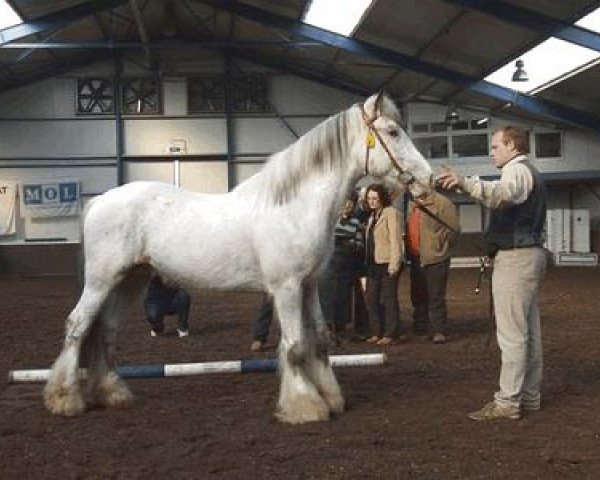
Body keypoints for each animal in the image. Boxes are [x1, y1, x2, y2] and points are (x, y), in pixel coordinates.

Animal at [44, 92, 434, 422]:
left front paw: (331, 398)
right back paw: (64, 399)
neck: (295, 205)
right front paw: (305, 406)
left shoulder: (308, 285)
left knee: (106, 330)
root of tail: (98, 200)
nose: (428, 179)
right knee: (77, 325)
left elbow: (320, 340)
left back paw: (113, 393)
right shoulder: (287, 287)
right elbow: (295, 345)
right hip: (102, 281)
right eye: (392, 131)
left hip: (129, 280)